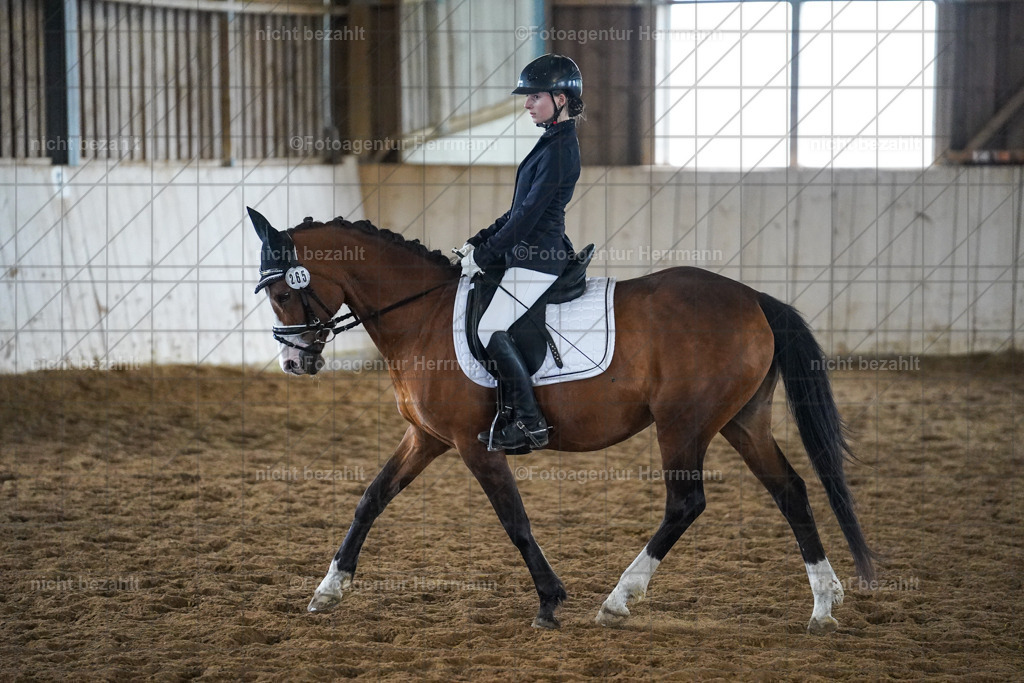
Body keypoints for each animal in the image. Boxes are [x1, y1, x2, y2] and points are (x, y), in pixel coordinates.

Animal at [249, 208, 875, 633]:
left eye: (281, 291)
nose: (294, 363)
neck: (419, 314)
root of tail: (754, 300)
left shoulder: (475, 445)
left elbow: (515, 521)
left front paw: (550, 600)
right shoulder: (425, 436)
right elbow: (371, 498)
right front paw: (328, 590)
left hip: (683, 423)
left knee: (686, 503)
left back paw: (619, 599)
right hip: (741, 421)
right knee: (790, 490)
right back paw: (824, 604)